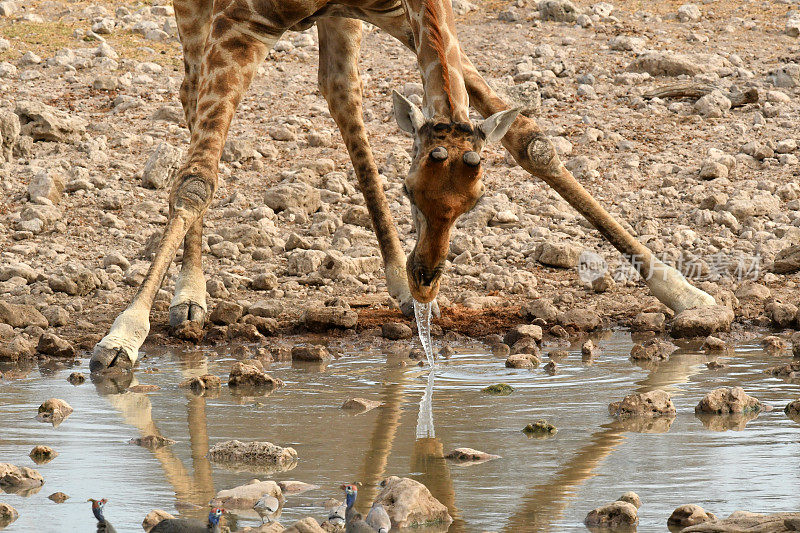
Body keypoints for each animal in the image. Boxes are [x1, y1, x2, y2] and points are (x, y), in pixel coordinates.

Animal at [90, 0, 716, 370]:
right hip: (202, 15)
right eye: (411, 191)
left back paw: (392, 276)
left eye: (475, 203)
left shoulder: (395, 11)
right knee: (191, 105)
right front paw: (123, 336)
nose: (426, 282)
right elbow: (198, 180)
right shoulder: (241, 23)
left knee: (341, 94)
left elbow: (533, 145)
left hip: (339, 20)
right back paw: (189, 296)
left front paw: (688, 295)